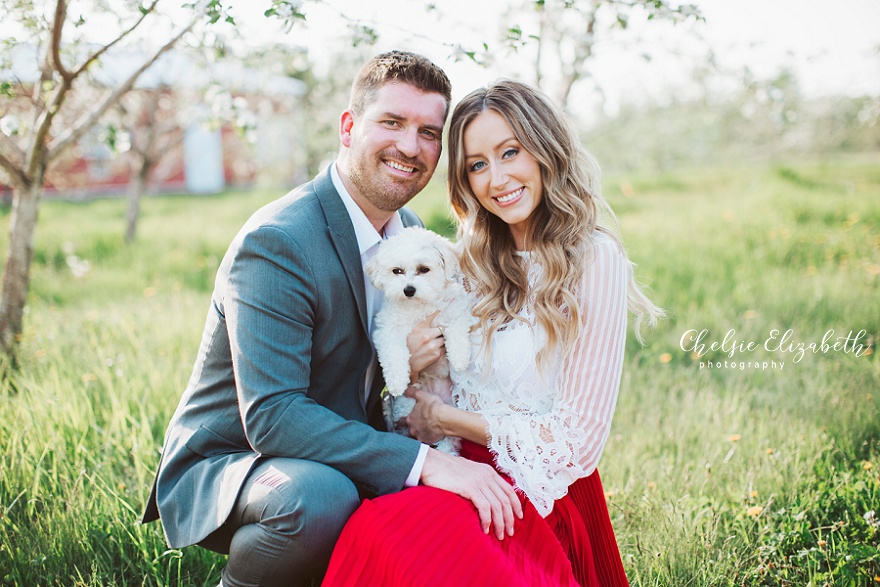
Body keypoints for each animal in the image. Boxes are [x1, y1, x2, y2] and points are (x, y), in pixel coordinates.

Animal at [366, 229, 474, 454]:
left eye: (424, 269)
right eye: (397, 271)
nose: (409, 289)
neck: (419, 306)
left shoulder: (455, 311)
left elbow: (456, 330)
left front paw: (459, 358)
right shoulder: (387, 331)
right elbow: (394, 354)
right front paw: (396, 382)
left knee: (449, 438)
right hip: (406, 405)